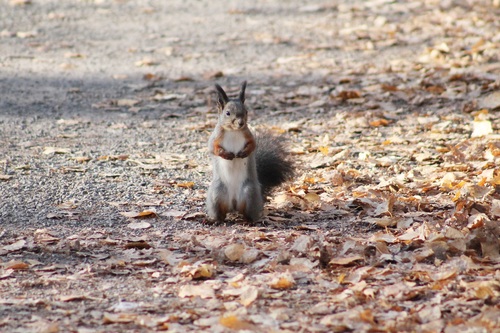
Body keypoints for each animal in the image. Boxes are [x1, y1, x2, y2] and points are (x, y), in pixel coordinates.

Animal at [206, 80, 294, 222]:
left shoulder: (249, 136)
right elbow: (213, 149)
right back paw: (215, 221)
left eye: (246, 111)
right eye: (227, 113)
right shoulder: (214, 138)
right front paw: (226, 155)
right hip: (217, 194)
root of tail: (233, 205)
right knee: (220, 213)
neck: (233, 131)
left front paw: (243, 153)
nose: (241, 123)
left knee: (247, 213)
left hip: (249, 193)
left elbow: (252, 146)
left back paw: (250, 221)